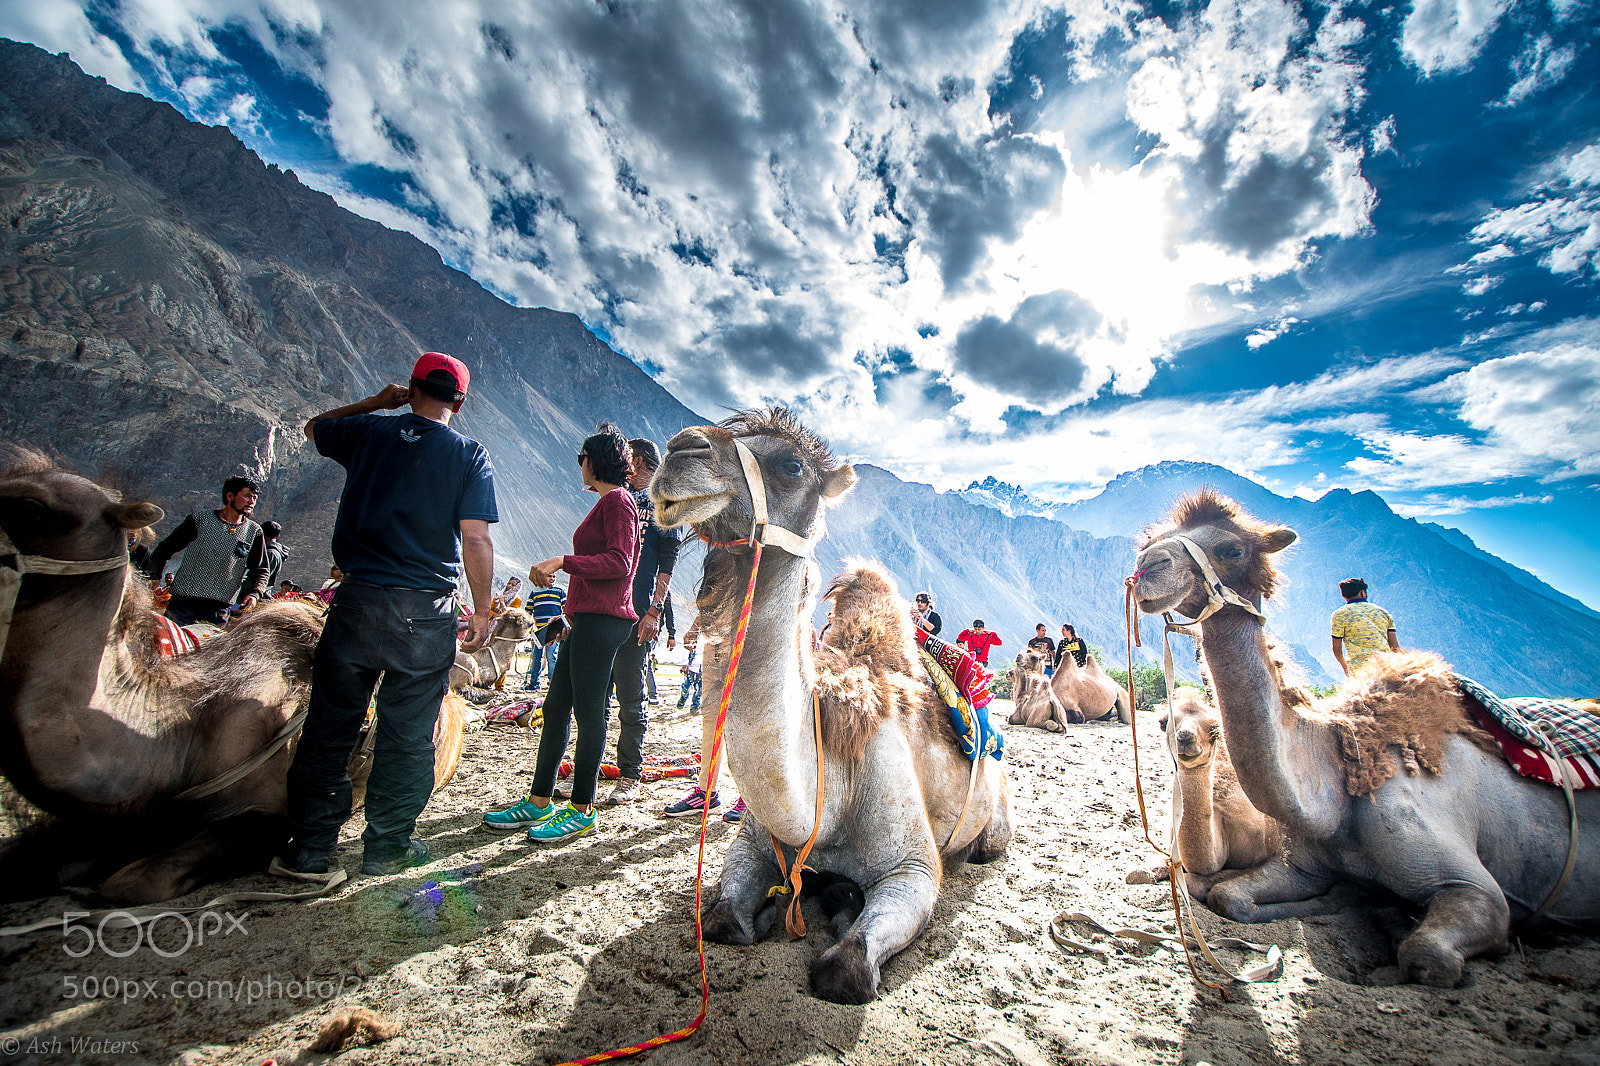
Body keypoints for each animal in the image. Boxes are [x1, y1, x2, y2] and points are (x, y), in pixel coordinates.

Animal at [649, 409, 1013, 1003]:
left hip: (997, 817)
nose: (680, 449)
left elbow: (845, 968)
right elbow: (722, 919)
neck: (827, 791)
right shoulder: (755, 841)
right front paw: (774, 910)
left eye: (792, 465)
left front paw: (841, 918)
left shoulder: (914, 867)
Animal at [1124, 686, 1283, 895]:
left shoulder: (1260, 856)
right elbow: (1140, 872)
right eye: (1163, 722)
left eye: (1215, 729)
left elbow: (1198, 882)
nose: (1185, 736)